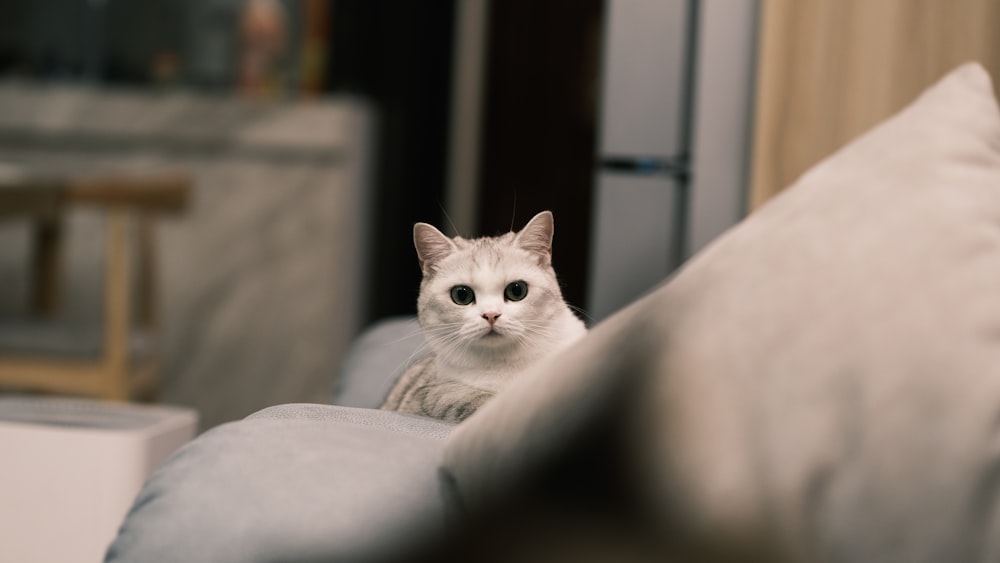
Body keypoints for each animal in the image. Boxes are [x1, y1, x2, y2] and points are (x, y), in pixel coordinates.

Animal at [380, 212, 584, 424]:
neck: (504, 360)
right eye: (461, 295)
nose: (491, 314)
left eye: (517, 290)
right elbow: (476, 401)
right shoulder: (431, 393)